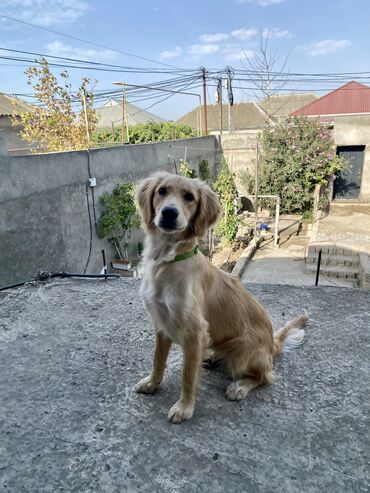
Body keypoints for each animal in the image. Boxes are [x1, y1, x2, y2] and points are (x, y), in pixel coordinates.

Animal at [134, 171, 308, 420]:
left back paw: (240, 386)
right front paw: (151, 384)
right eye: (162, 191)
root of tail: (271, 345)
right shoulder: (161, 324)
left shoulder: (194, 331)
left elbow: (188, 375)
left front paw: (185, 407)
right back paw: (212, 357)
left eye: (189, 197)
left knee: (267, 376)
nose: (169, 213)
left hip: (242, 355)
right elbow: (158, 360)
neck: (167, 261)